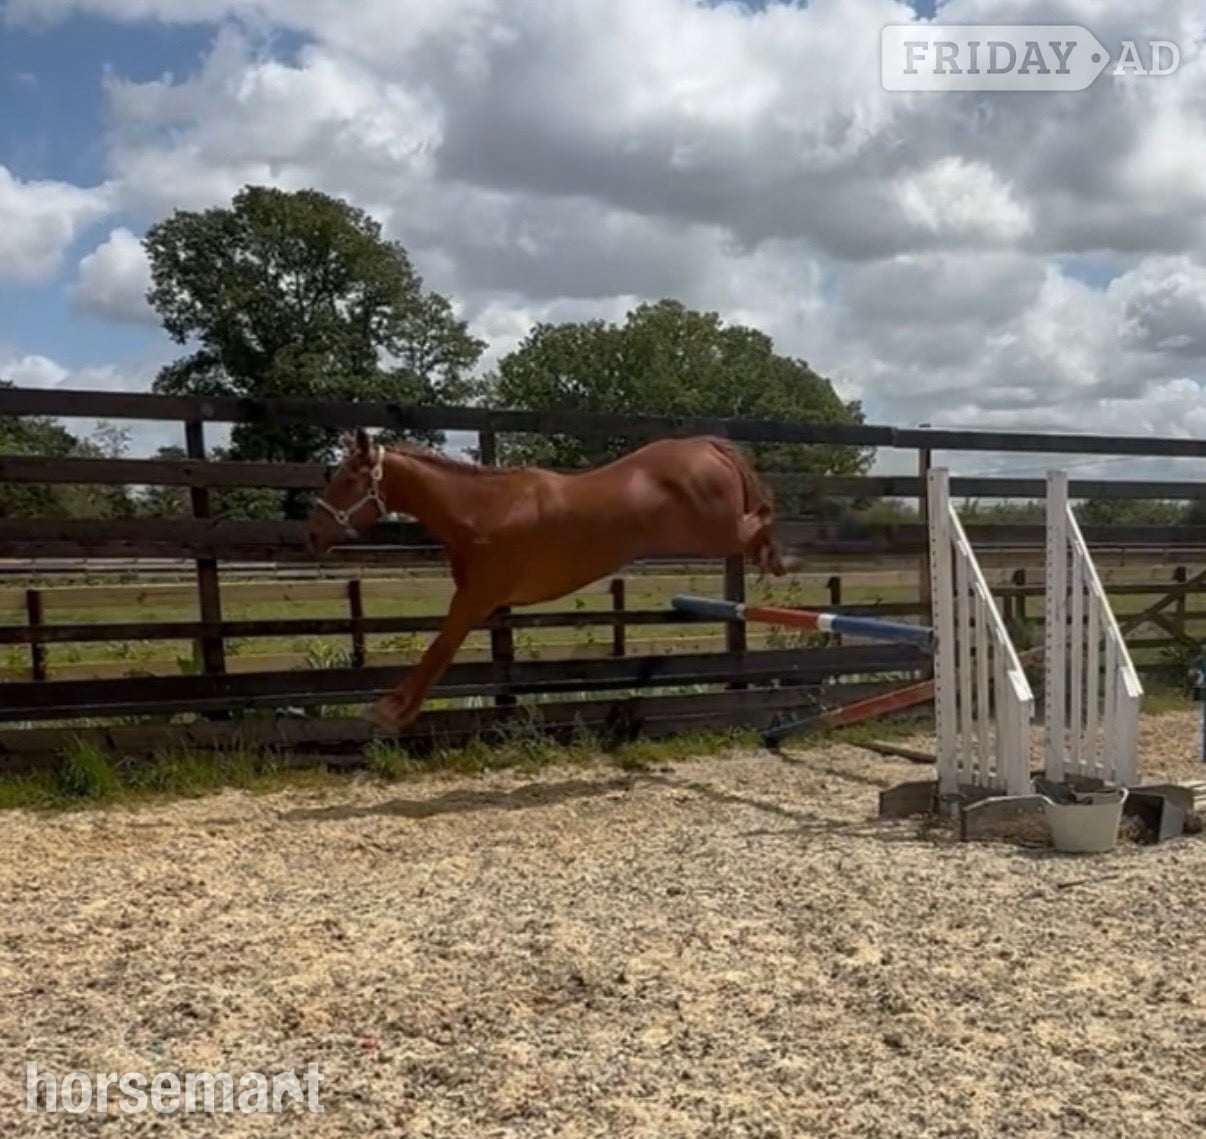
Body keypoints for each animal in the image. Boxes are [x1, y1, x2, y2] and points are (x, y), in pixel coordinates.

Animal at [305, 427, 798, 732]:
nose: (312, 533)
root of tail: (707, 446)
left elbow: (439, 649)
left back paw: (779, 554)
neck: (482, 509)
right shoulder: (482, 600)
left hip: (713, 531)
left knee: (757, 520)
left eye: (347, 479)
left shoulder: (475, 596)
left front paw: (388, 712)